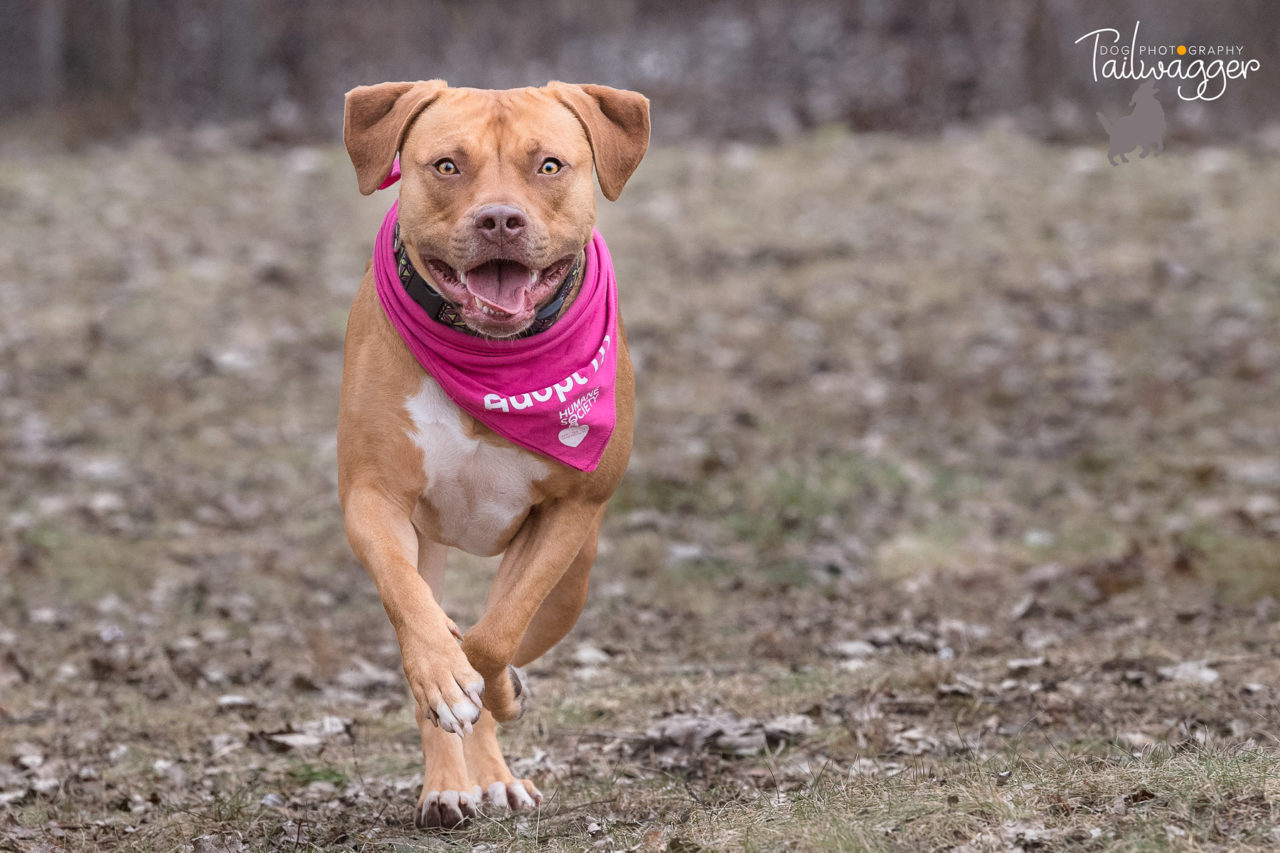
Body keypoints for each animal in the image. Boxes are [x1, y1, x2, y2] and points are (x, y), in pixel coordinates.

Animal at [337, 78, 650, 824]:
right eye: (448, 165)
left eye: (549, 165)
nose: (500, 220)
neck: (495, 360)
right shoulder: (372, 498)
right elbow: (422, 619)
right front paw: (448, 680)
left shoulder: (569, 510)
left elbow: (494, 635)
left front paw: (500, 689)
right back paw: (449, 785)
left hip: (575, 579)